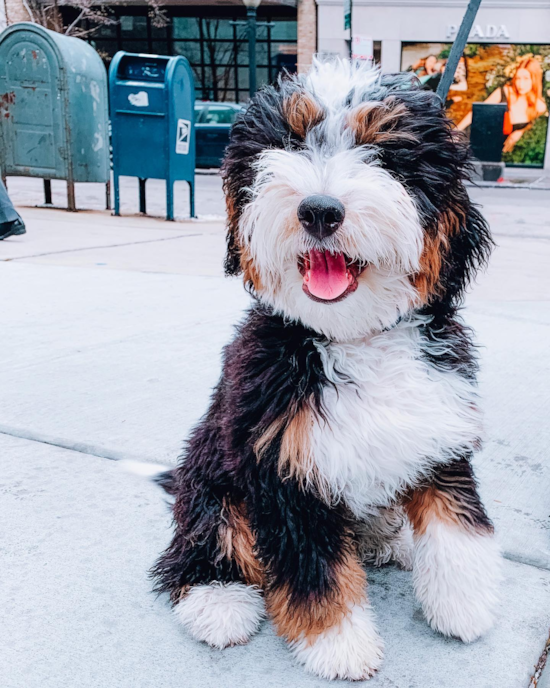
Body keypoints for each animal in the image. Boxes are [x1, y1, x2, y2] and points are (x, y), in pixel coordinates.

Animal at [149, 60, 502, 684]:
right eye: (290, 144)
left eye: (383, 153)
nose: (319, 209)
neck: (353, 338)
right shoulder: (281, 465)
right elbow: (314, 568)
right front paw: (338, 643)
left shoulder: (439, 430)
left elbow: (455, 520)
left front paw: (465, 602)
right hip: (212, 479)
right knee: (205, 539)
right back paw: (217, 600)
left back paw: (386, 539)